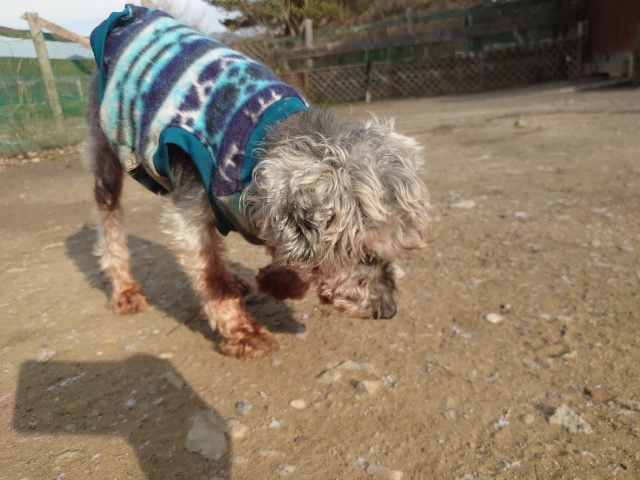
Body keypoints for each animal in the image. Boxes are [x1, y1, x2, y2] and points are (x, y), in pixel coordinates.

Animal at [83, 5, 433, 359]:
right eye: (369, 257)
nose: (388, 310)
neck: (260, 140)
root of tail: (127, 14)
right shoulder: (187, 215)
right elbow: (210, 277)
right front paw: (244, 333)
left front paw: (275, 281)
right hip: (106, 152)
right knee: (110, 223)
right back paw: (125, 291)